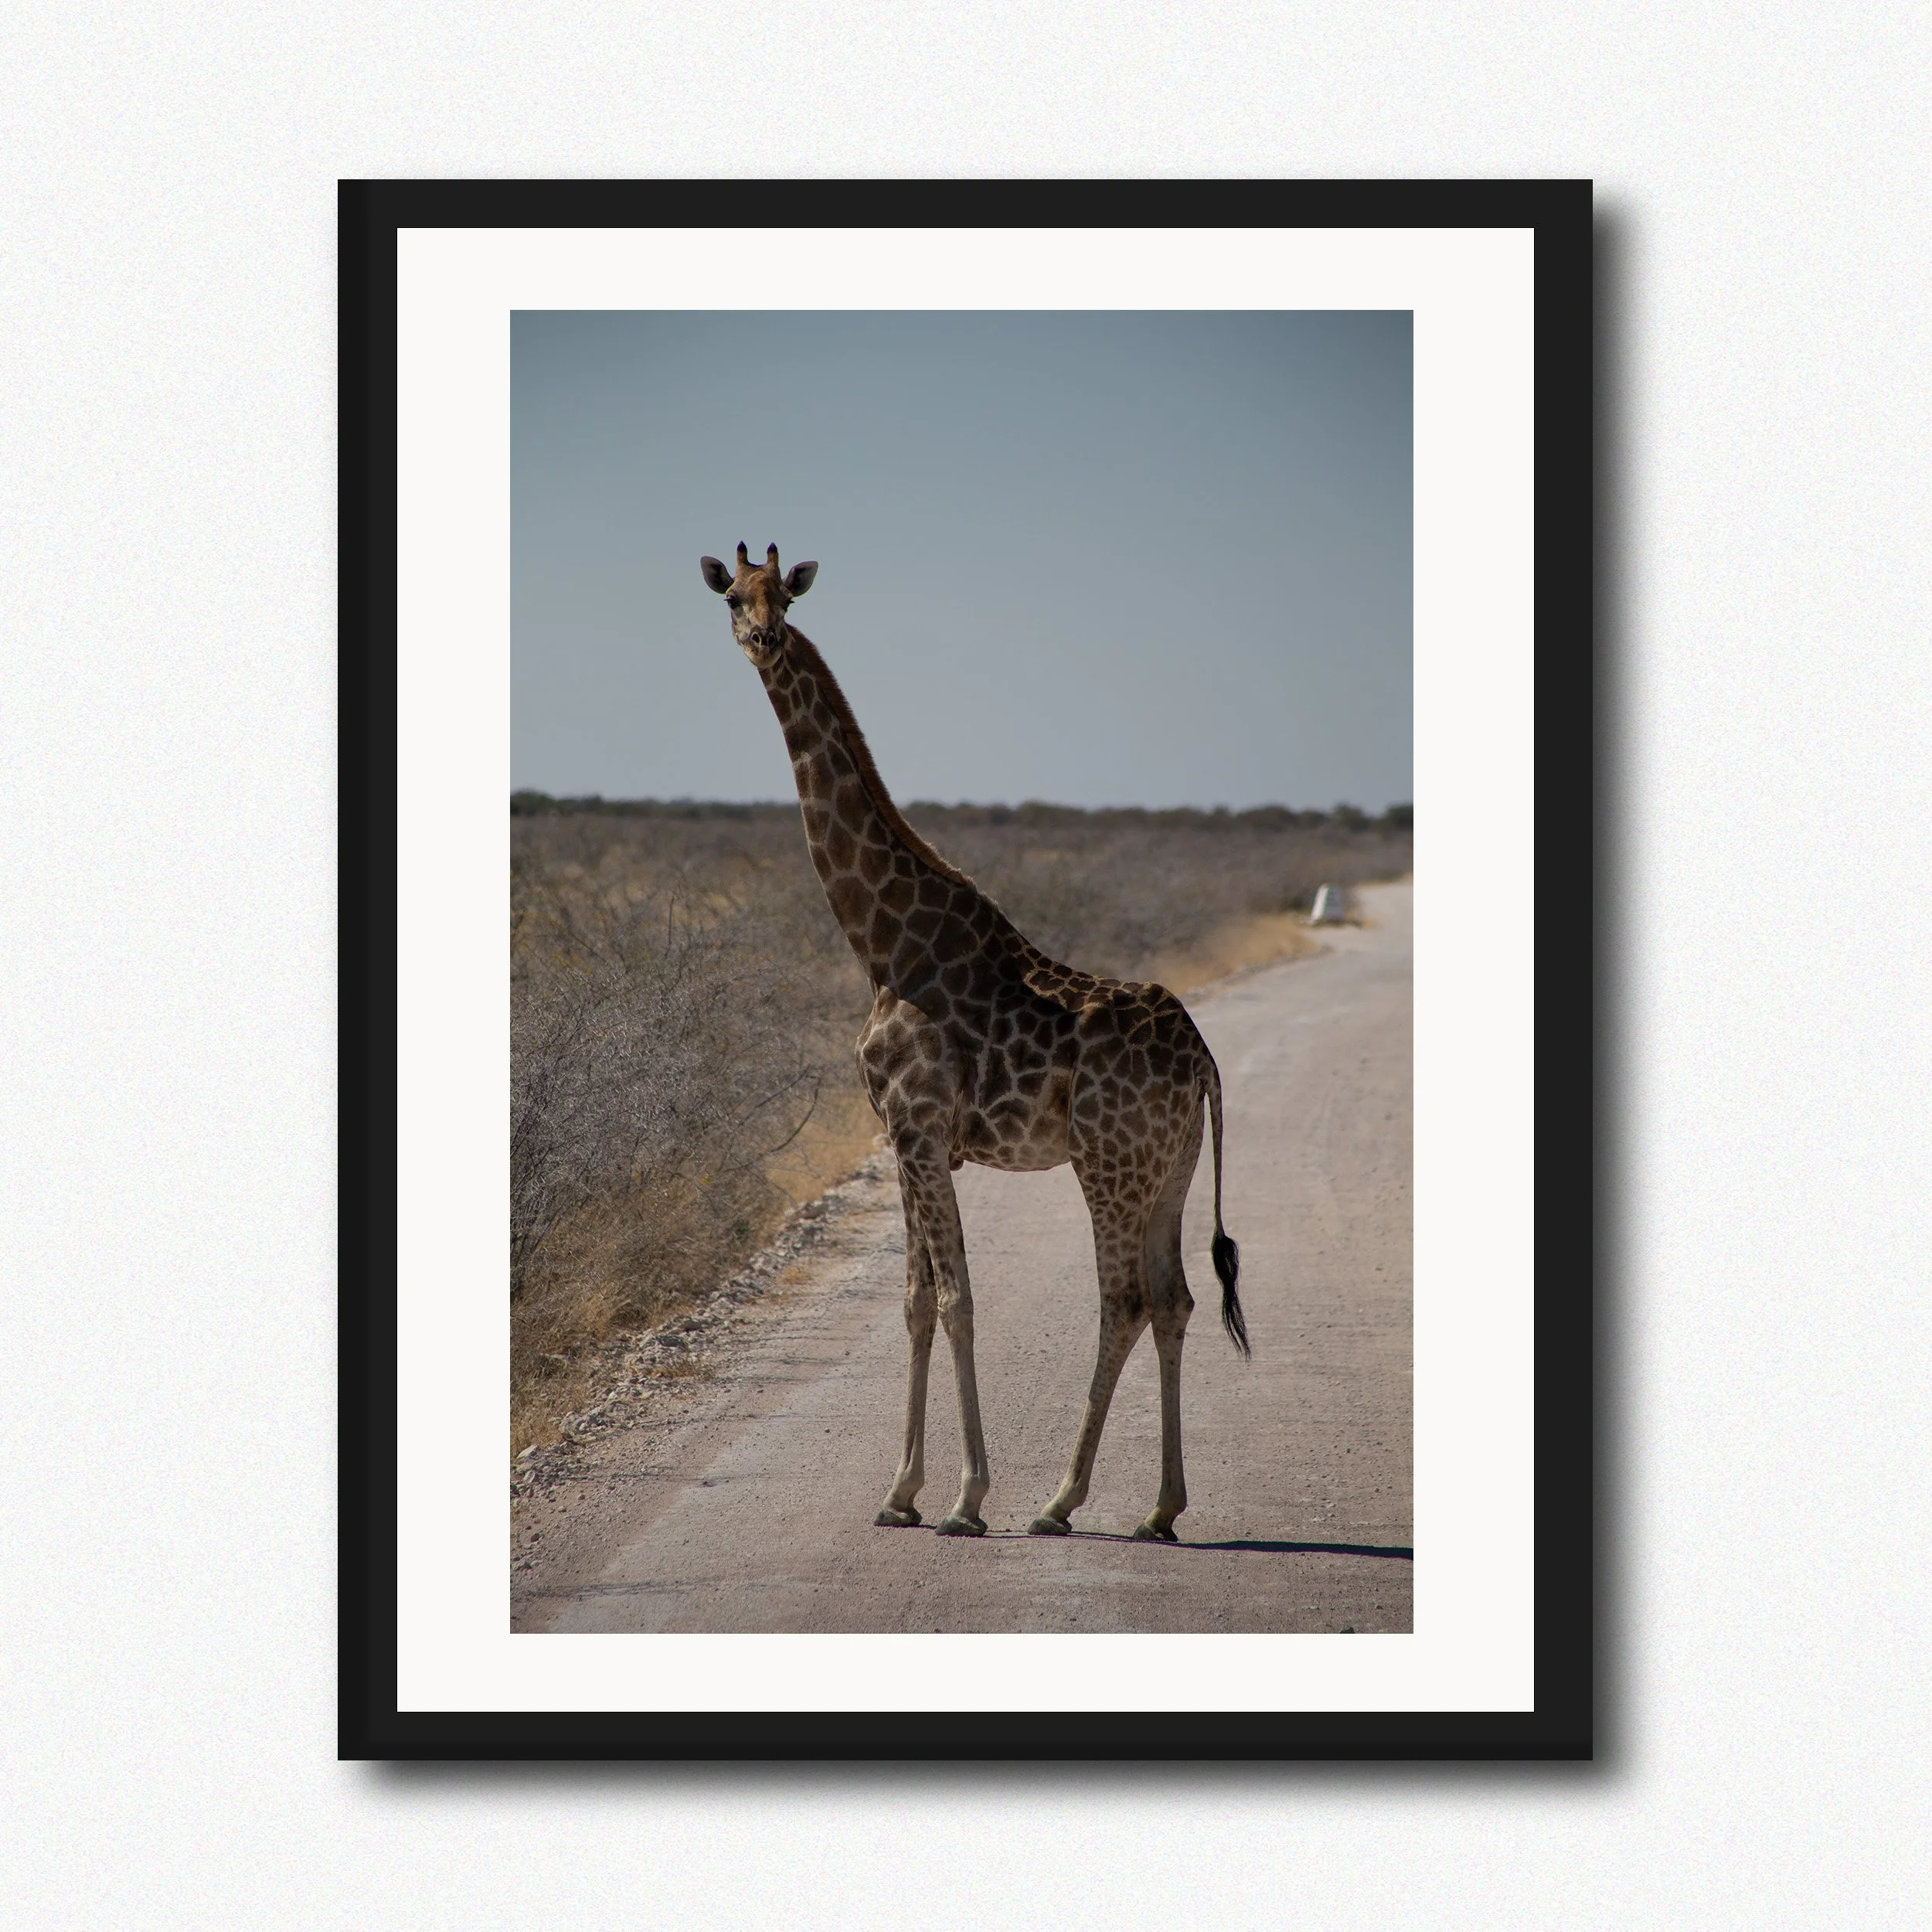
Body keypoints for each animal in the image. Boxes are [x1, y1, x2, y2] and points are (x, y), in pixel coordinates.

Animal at [701, 543, 1249, 1541]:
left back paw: (1059, 1501)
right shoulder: (903, 1137)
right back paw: (1158, 1509)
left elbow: (955, 1300)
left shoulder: (917, 1127)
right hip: (1172, 1165)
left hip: (1106, 1160)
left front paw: (962, 1497)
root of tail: (1202, 1061)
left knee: (1123, 1300)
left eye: (780, 598)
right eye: (732, 597)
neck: (881, 944)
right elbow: (915, 1301)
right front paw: (900, 1492)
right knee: (1177, 1297)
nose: (761, 638)